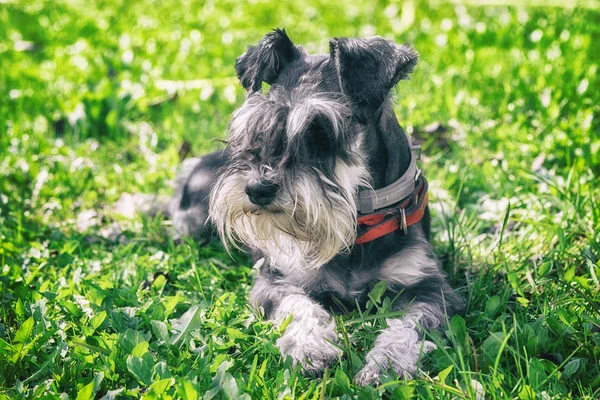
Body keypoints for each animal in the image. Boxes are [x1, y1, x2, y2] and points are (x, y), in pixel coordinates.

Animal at [166, 28, 462, 384]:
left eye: (320, 129)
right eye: (257, 127)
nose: (257, 189)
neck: (357, 223)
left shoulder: (430, 289)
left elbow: (408, 326)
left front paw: (386, 365)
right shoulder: (277, 281)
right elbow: (300, 307)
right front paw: (311, 348)